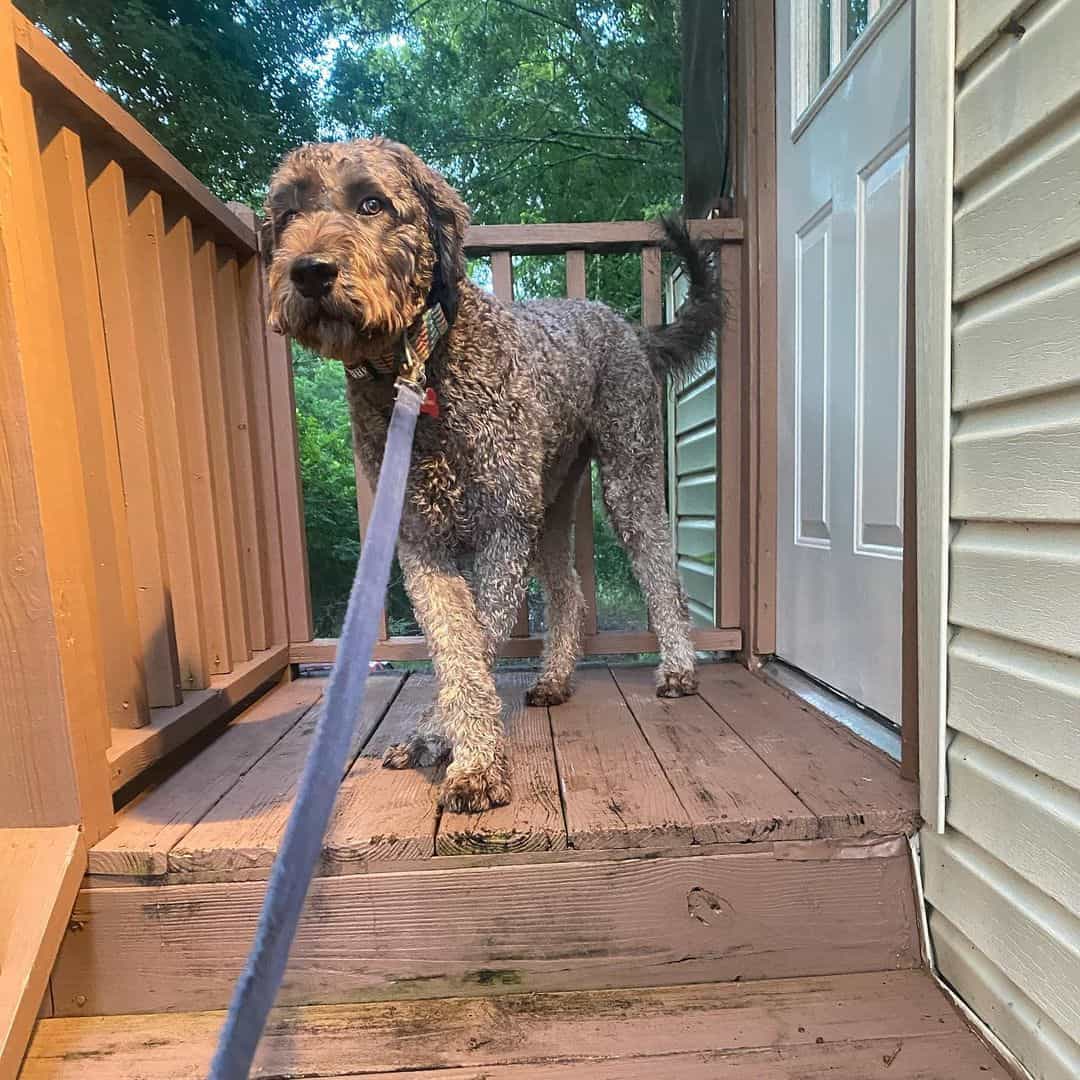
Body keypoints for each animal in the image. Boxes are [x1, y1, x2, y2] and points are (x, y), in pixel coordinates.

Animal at [262, 137, 721, 812]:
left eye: (372, 203)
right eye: (288, 213)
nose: (309, 272)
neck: (423, 370)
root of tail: (628, 328)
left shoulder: (502, 530)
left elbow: (478, 645)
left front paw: (466, 758)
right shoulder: (422, 545)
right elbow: (457, 650)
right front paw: (442, 739)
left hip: (625, 476)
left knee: (662, 573)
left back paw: (679, 669)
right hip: (551, 502)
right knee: (569, 589)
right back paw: (555, 678)